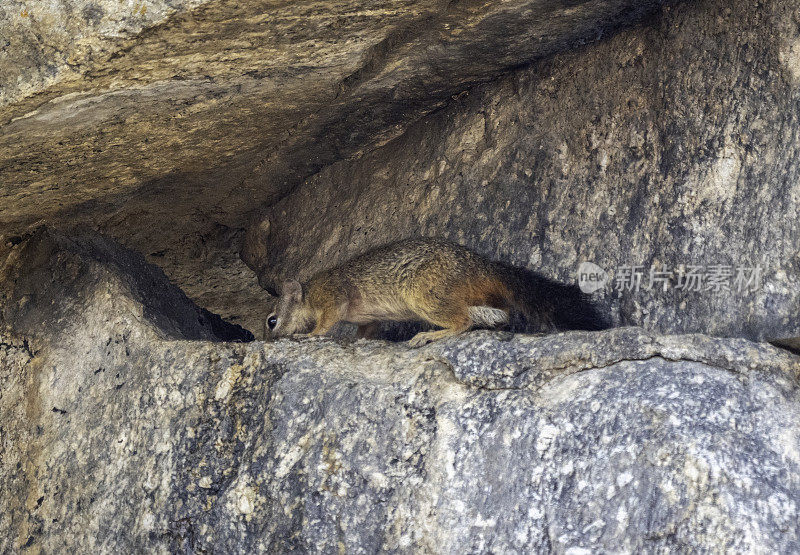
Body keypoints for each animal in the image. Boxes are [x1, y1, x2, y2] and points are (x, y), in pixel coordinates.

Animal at [264, 237, 608, 346]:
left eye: (271, 320)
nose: (269, 338)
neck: (308, 293)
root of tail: (482, 266)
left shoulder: (332, 297)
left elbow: (326, 322)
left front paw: (310, 335)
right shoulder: (367, 319)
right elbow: (368, 330)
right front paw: (362, 341)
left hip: (425, 294)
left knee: (461, 321)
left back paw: (430, 335)